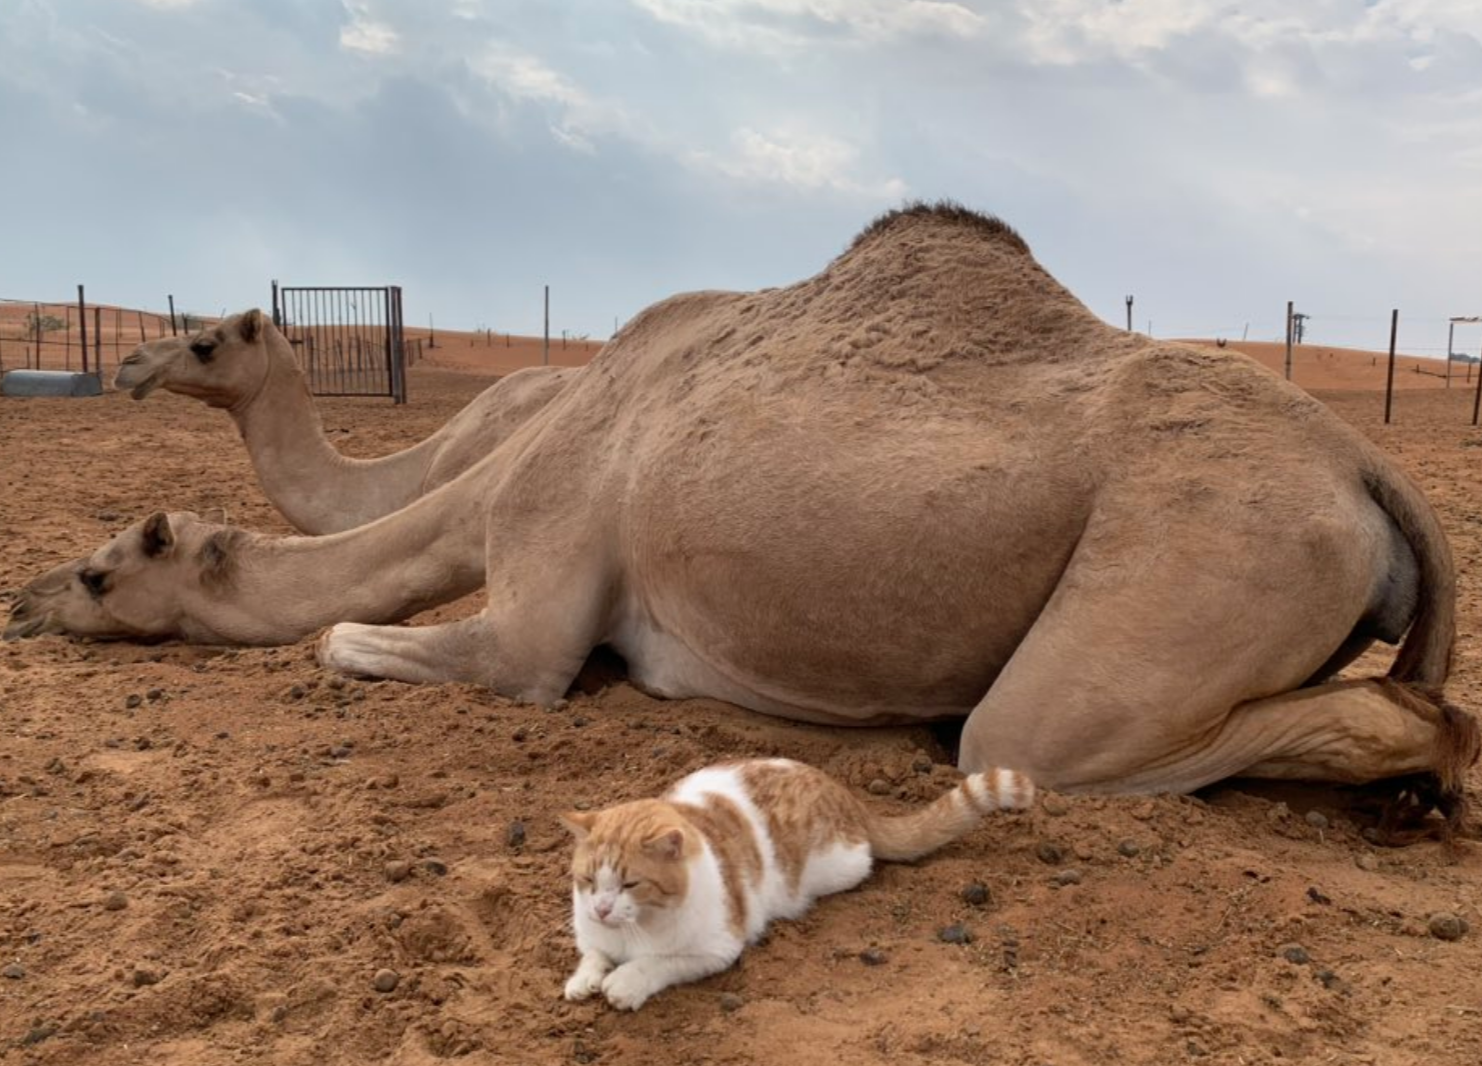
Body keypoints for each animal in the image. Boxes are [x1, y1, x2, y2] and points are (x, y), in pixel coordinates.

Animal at [557, 756, 1031, 1014]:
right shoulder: (594, 934)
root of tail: (844, 792)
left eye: (630, 883)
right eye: (587, 880)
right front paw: (585, 979)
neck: (634, 930)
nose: (600, 909)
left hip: (838, 865)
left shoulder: (715, 949)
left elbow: (658, 963)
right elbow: (594, 953)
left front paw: (624, 983)